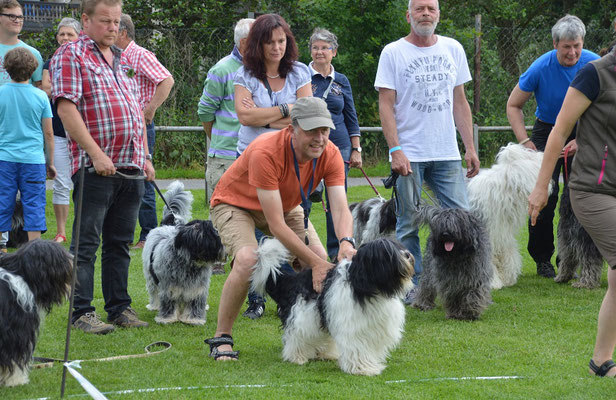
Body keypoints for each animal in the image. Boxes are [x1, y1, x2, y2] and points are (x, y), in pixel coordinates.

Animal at [250, 238, 414, 376]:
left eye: (399, 246)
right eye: (388, 253)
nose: (407, 255)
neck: (367, 286)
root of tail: (294, 279)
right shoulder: (354, 326)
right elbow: (358, 347)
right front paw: (363, 368)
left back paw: (326, 354)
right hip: (303, 313)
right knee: (297, 334)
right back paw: (297, 356)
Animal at [466, 143, 544, 288]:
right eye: (532, 158)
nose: (543, 155)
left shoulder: (502, 234)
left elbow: (508, 254)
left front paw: (508, 278)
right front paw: (494, 282)